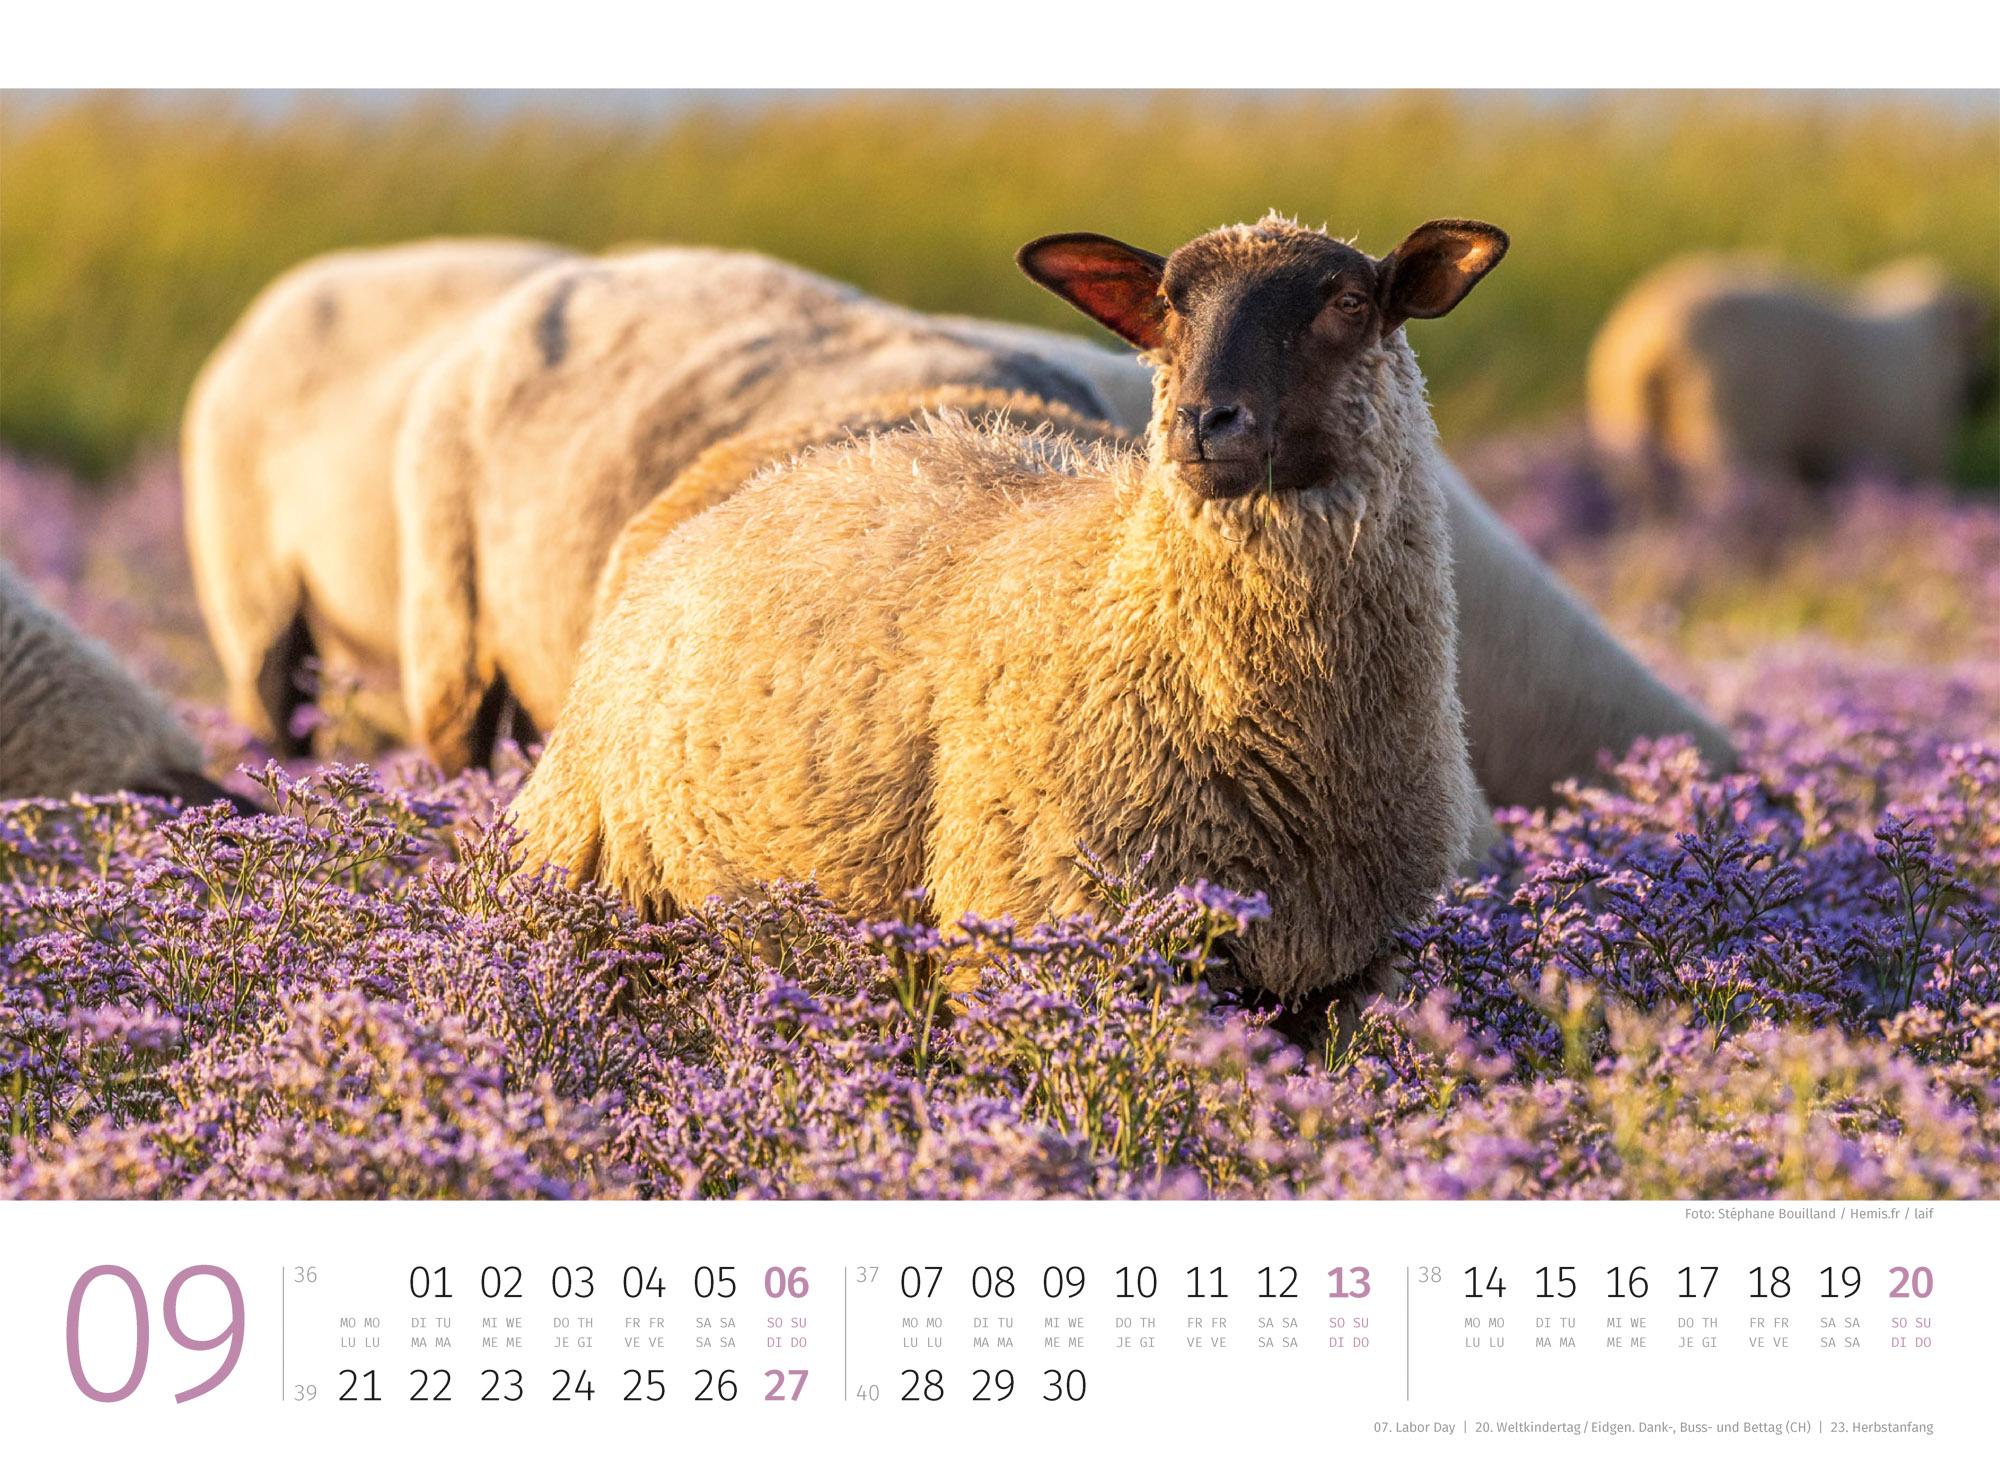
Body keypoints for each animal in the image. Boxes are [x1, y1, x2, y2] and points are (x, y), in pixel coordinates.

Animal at [512, 214, 1511, 1006]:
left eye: (1348, 301)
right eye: (1168, 306)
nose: (1203, 421)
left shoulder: (1335, 973)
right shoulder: (1046, 927)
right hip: (603, 888)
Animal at [1586, 253, 1992, 489]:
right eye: (1974, 345)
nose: (1982, 397)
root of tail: (1657, 338)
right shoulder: (1923, 454)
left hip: (1628, 428)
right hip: (1729, 437)